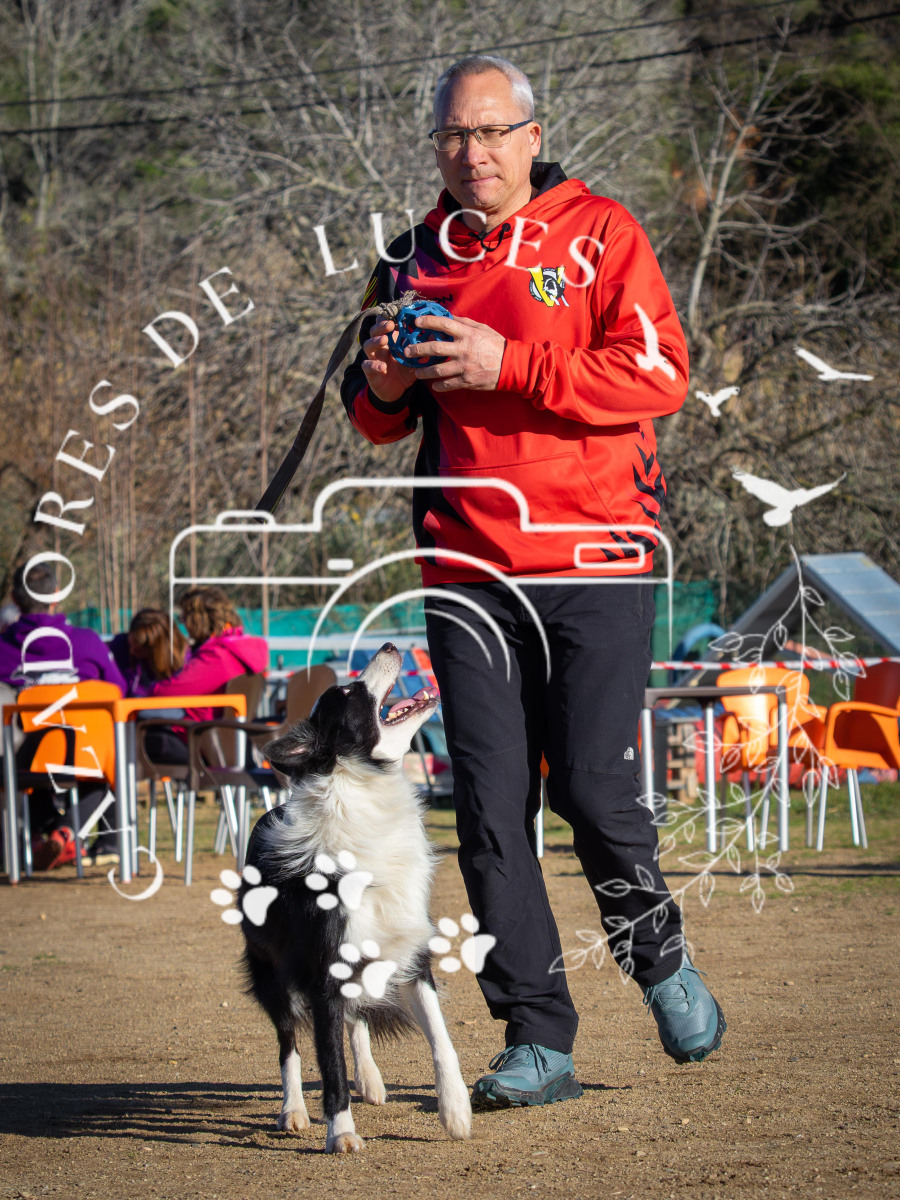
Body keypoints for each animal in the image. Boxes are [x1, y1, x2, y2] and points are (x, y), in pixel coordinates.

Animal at [239, 643, 472, 1153]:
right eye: (347, 693)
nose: (389, 646)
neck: (365, 790)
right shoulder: (322, 970)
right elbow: (329, 1063)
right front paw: (341, 1131)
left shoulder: (411, 954)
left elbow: (441, 1038)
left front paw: (456, 1110)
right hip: (271, 969)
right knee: (289, 1041)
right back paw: (293, 1110)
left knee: (356, 1021)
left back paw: (370, 1078)